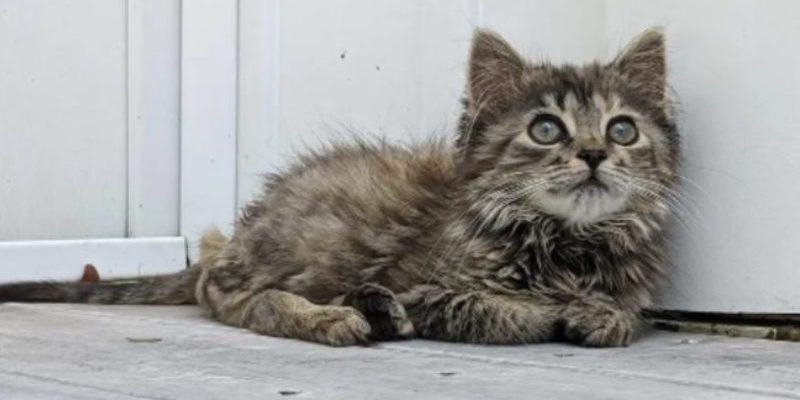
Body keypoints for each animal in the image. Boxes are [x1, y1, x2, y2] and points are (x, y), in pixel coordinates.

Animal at [0, 28, 680, 346]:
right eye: (545, 129)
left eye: (622, 129)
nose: (593, 154)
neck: (567, 243)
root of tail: (241, 230)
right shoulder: (432, 288)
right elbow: (508, 312)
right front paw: (558, 312)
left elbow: (626, 312)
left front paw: (601, 314)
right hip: (318, 239)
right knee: (229, 294)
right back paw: (333, 319)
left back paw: (374, 309)